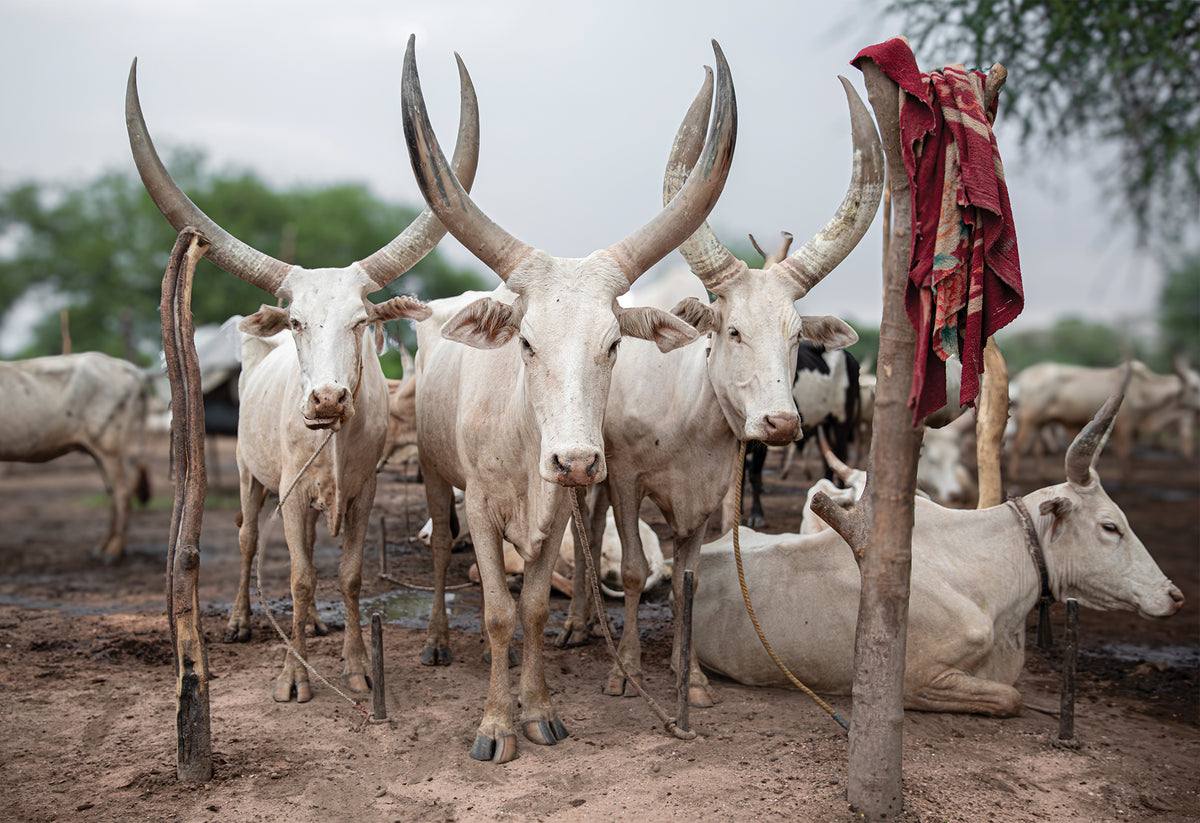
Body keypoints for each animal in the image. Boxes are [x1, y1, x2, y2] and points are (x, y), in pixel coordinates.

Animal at [0, 352, 150, 562]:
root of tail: (129, 368)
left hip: (109, 446)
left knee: (122, 493)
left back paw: (114, 551)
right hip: (101, 450)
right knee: (112, 492)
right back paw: (103, 547)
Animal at [126, 55, 479, 703]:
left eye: (361, 320)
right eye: (295, 321)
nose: (327, 397)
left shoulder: (362, 493)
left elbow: (346, 574)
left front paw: (358, 666)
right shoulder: (288, 492)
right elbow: (294, 576)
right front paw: (293, 676)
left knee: (311, 553)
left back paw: (313, 626)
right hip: (248, 473)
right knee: (247, 539)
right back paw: (242, 622)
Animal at [405, 37, 735, 762]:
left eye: (613, 344)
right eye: (526, 342)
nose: (578, 460)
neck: (522, 436)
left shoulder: (557, 507)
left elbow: (531, 609)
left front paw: (539, 711)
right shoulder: (484, 508)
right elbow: (498, 611)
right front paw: (495, 726)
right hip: (438, 476)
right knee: (440, 552)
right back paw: (438, 641)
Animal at [559, 74, 883, 708]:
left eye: (797, 336)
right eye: (732, 330)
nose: (781, 424)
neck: (685, 413)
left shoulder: (710, 492)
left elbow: (688, 577)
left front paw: (691, 678)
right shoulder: (628, 478)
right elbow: (633, 569)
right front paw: (627, 671)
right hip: (590, 466)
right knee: (587, 522)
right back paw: (578, 625)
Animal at [1009, 358, 1200, 479]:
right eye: (1195, 387)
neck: (1143, 390)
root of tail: (1023, 377)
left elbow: (1126, 452)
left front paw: (1129, 474)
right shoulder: (1125, 424)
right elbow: (1124, 452)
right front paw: (1125, 479)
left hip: (1040, 422)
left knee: (1036, 448)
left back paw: (1043, 473)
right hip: (1030, 418)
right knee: (1019, 445)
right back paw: (1015, 475)